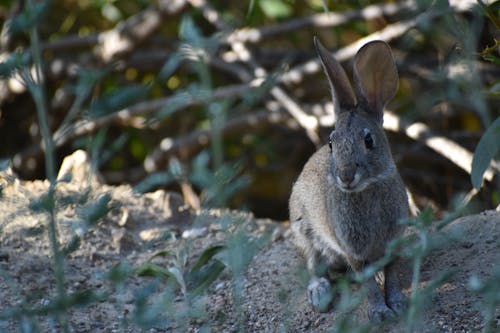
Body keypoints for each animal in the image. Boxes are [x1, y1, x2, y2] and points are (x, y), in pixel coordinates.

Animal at [290, 37, 410, 320]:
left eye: (368, 140)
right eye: (331, 144)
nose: (345, 176)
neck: (368, 188)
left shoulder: (393, 243)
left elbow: (393, 275)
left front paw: (398, 304)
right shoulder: (353, 250)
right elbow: (367, 282)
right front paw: (380, 313)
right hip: (303, 229)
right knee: (313, 264)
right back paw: (319, 294)